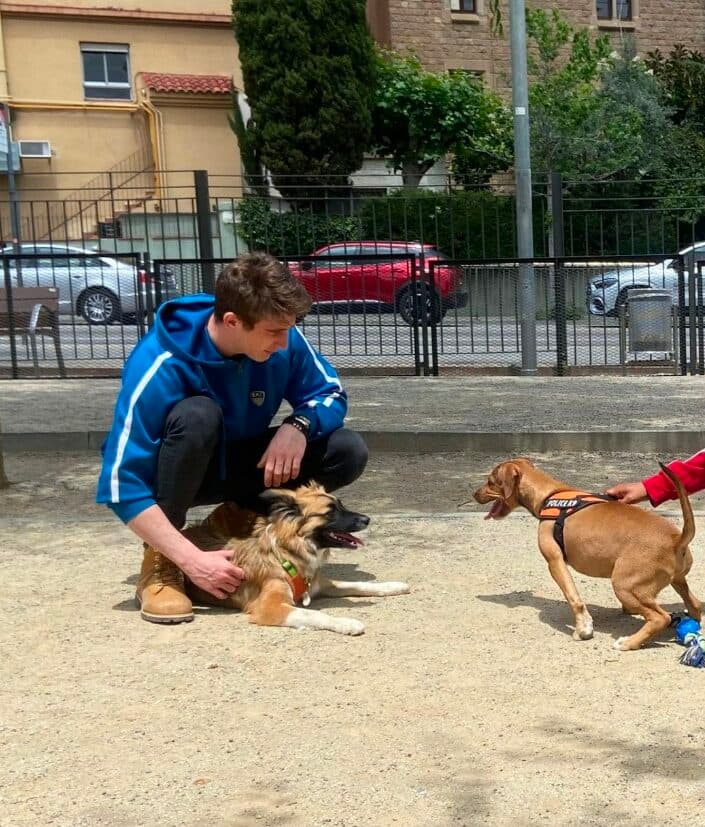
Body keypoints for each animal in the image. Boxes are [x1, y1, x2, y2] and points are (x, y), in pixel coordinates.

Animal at [184, 482, 410, 636]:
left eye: (342, 505)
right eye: (330, 512)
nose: (367, 519)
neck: (288, 554)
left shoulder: (322, 584)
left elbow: (359, 585)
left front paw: (393, 586)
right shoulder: (270, 607)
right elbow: (314, 614)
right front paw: (346, 623)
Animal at [472, 456, 700, 652]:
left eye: (491, 482)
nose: (474, 494)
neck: (549, 495)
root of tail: (676, 538)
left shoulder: (555, 562)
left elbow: (574, 598)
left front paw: (583, 629)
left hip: (624, 585)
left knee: (661, 617)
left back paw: (629, 642)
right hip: (676, 581)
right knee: (696, 605)